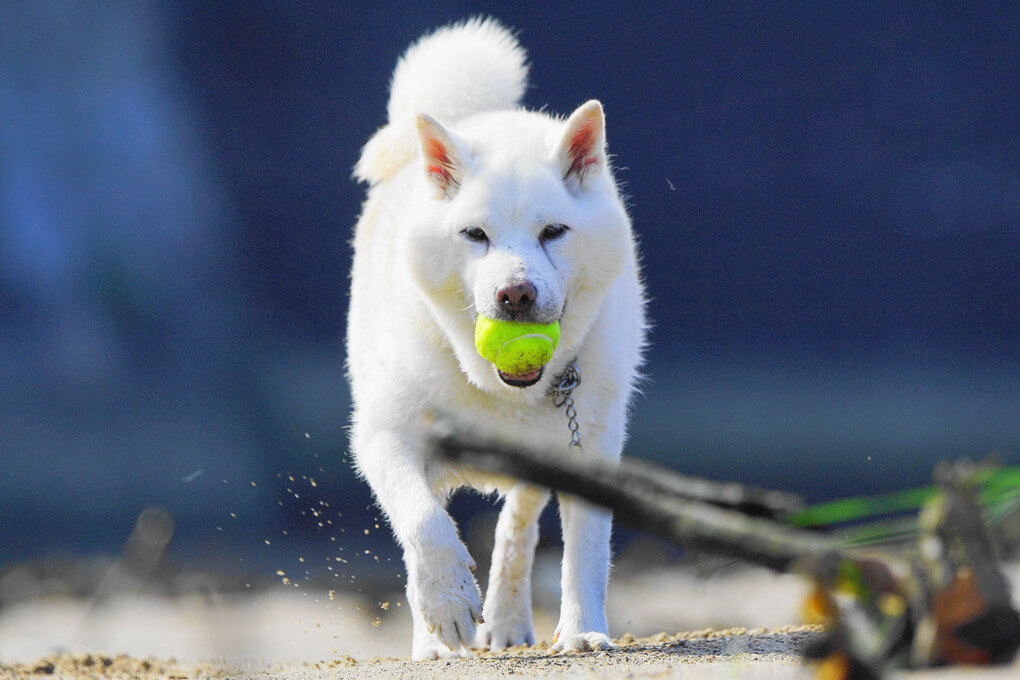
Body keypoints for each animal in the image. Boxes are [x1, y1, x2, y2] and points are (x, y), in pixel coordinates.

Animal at [346, 17, 640, 660]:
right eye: (475, 235)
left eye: (553, 231)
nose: (516, 296)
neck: (499, 390)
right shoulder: (386, 437)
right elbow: (424, 525)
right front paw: (447, 607)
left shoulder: (591, 449)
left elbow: (585, 550)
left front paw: (582, 631)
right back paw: (432, 640)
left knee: (516, 530)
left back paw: (506, 622)